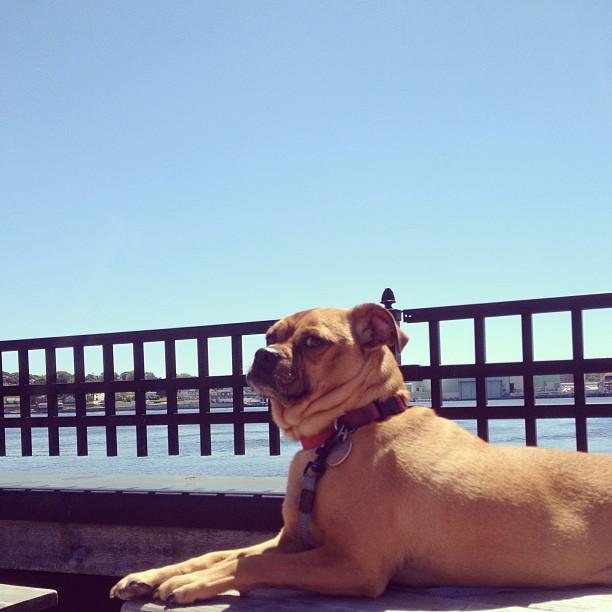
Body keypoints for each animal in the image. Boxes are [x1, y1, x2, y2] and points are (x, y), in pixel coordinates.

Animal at [111, 303, 612, 605]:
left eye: (313, 342)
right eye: (271, 333)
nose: (262, 352)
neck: (344, 429)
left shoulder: (354, 564)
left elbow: (251, 562)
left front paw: (188, 584)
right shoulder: (292, 540)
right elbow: (222, 553)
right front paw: (155, 574)